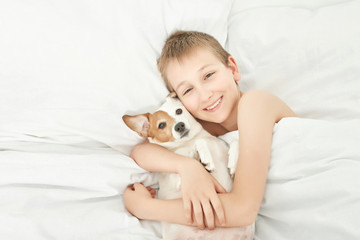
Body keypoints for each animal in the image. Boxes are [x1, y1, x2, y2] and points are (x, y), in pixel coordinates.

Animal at [122, 93, 255, 240]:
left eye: (179, 111)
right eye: (161, 125)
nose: (179, 126)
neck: (188, 142)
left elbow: (235, 141)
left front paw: (232, 163)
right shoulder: (178, 179)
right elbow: (198, 145)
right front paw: (205, 159)